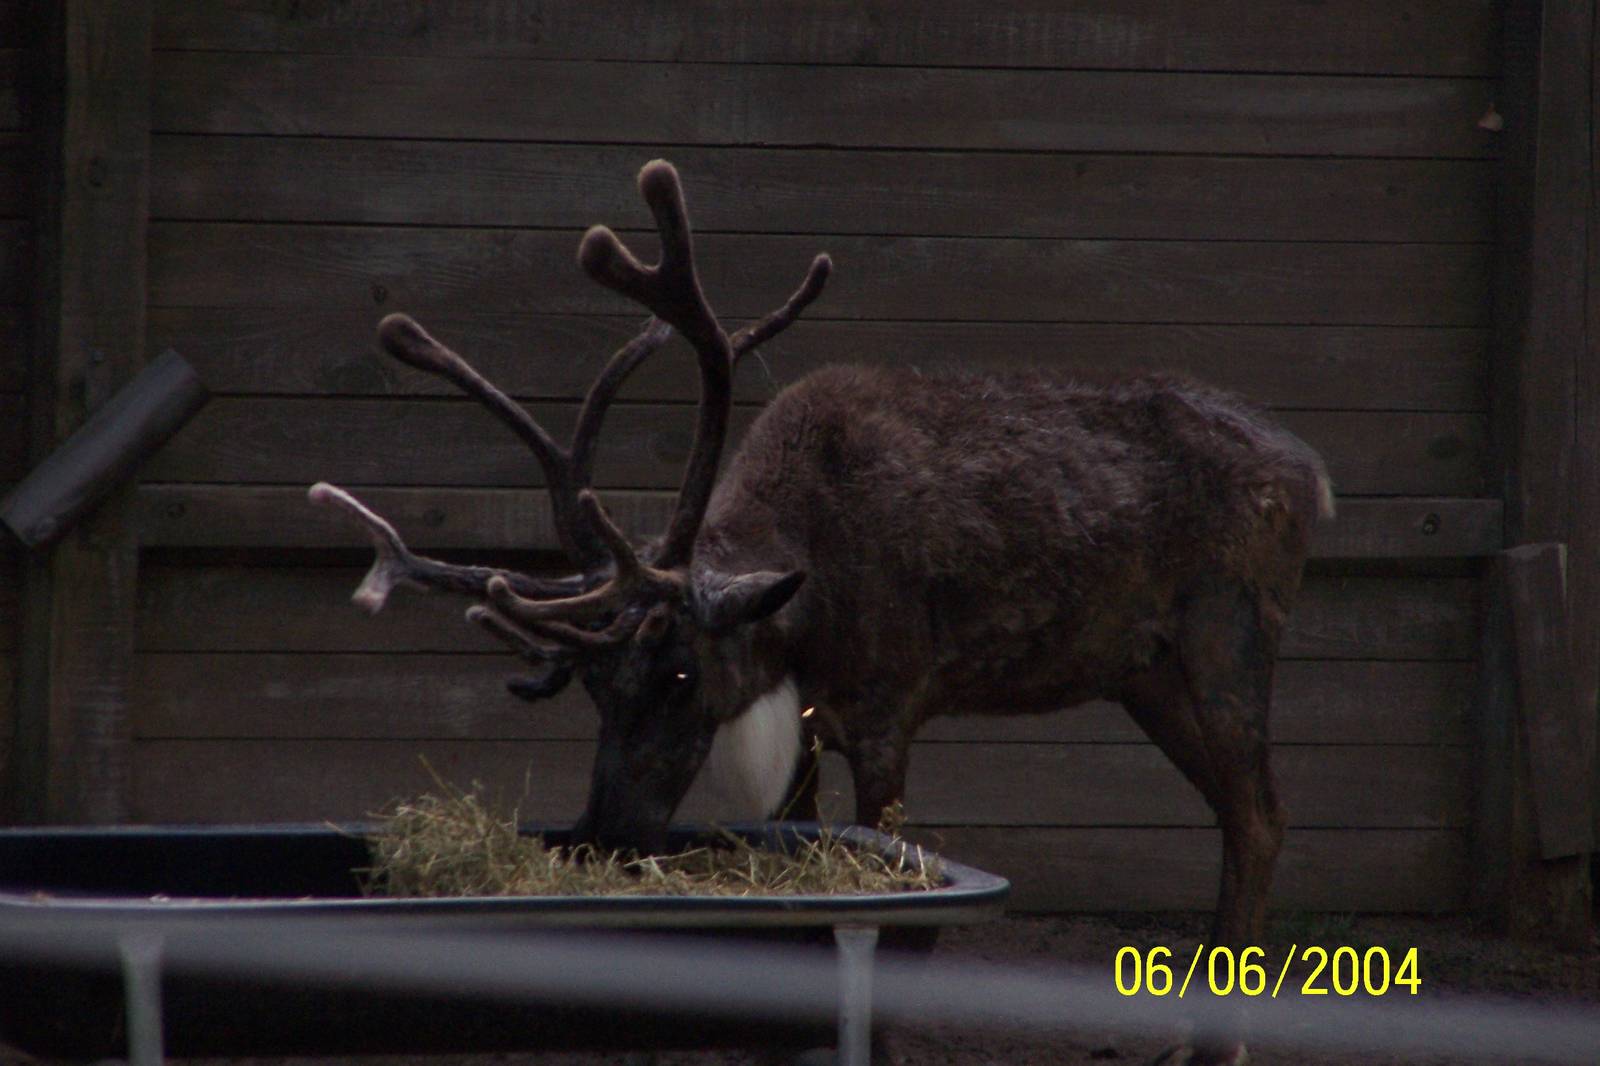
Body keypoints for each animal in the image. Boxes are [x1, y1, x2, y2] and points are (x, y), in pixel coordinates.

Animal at [309, 160, 1333, 1066]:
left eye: (680, 669)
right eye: (593, 690)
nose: (604, 835)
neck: (809, 611)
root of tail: (1310, 474)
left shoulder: (890, 707)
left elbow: (890, 872)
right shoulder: (808, 726)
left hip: (1231, 632)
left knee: (1262, 810)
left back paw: (1222, 1044)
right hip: (1145, 672)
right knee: (1235, 810)